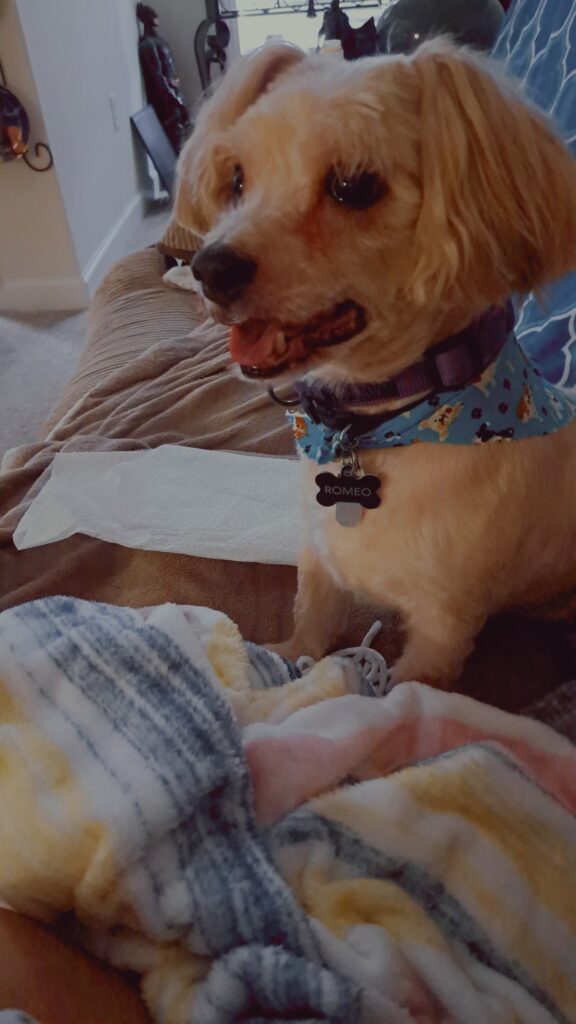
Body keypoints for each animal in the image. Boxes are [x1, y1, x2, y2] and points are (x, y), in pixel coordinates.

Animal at [175, 40, 576, 688]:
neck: (382, 421)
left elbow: (405, 689)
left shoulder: (444, 628)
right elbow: (309, 621)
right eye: (236, 178)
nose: (208, 268)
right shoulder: (317, 560)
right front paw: (284, 662)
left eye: (353, 186)